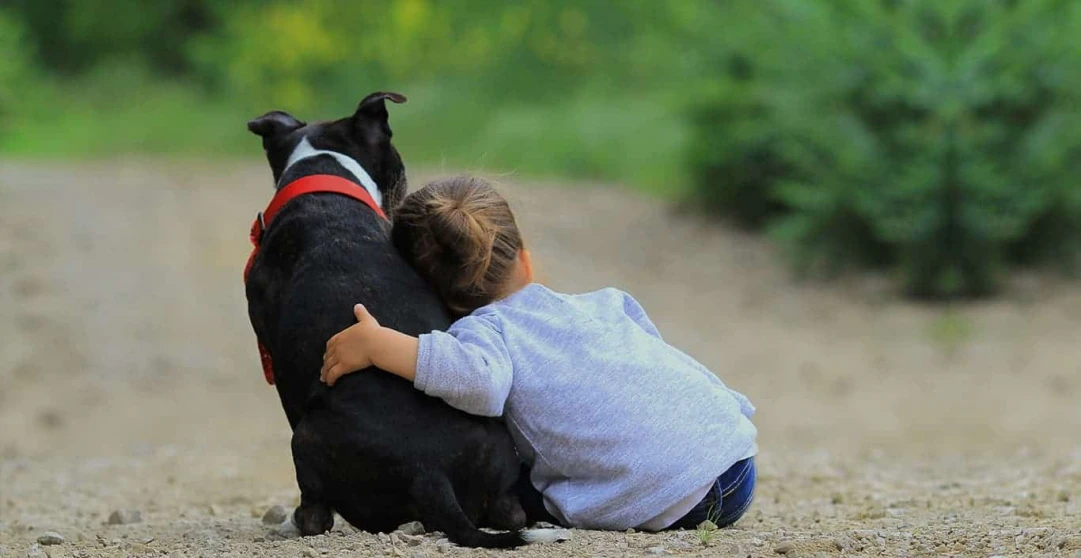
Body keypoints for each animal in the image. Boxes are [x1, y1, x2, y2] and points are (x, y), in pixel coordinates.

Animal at [246, 92, 566, 549]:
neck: (322, 175)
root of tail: (428, 472)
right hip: (496, 452)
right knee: (510, 512)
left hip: (304, 438)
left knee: (317, 515)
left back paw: (295, 522)